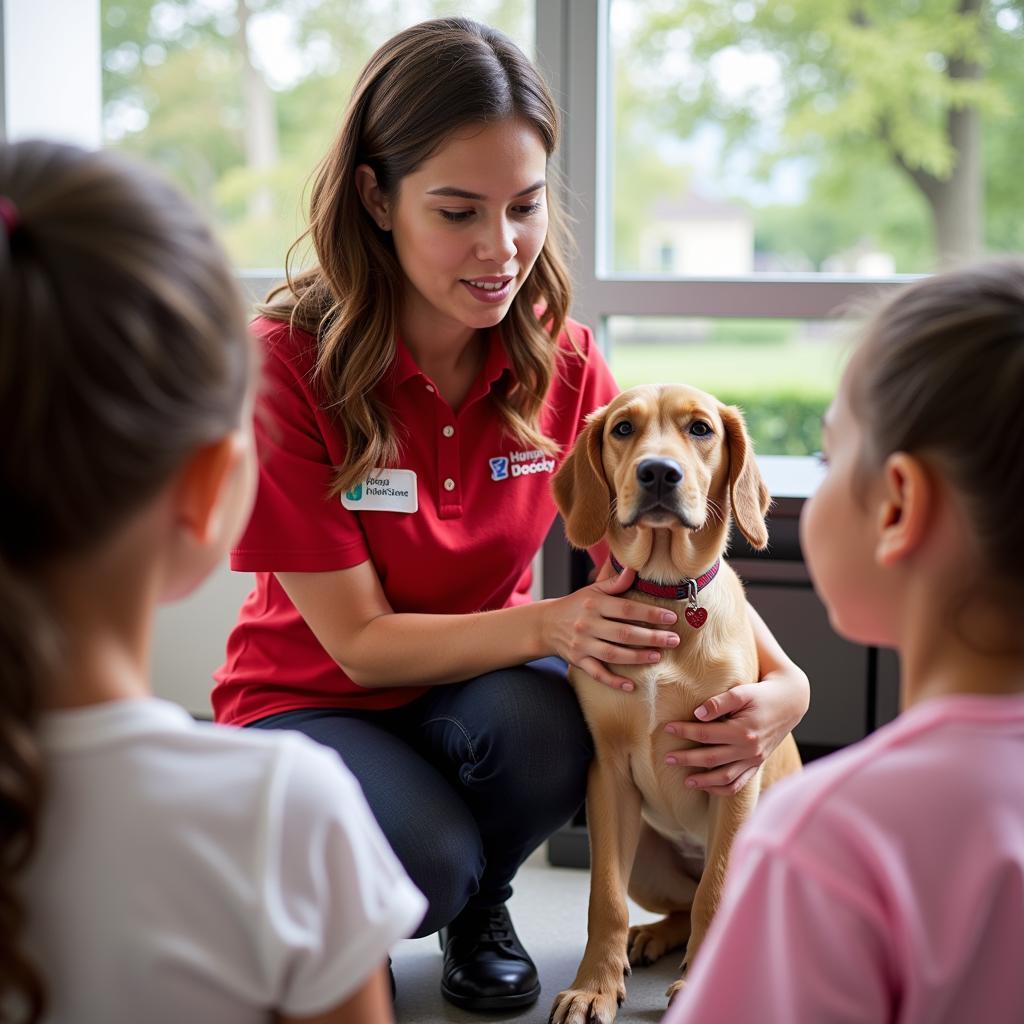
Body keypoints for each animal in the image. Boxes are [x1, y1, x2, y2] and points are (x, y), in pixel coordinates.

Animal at [548, 385, 802, 1024]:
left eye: (700, 429)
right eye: (622, 429)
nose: (658, 472)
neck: (665, 594)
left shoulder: (735, 772)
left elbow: (716, 892)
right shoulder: (608, 776)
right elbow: (605, 901)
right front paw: (594, 986)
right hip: (645, 855)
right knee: (679, 907)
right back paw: (651, 937)